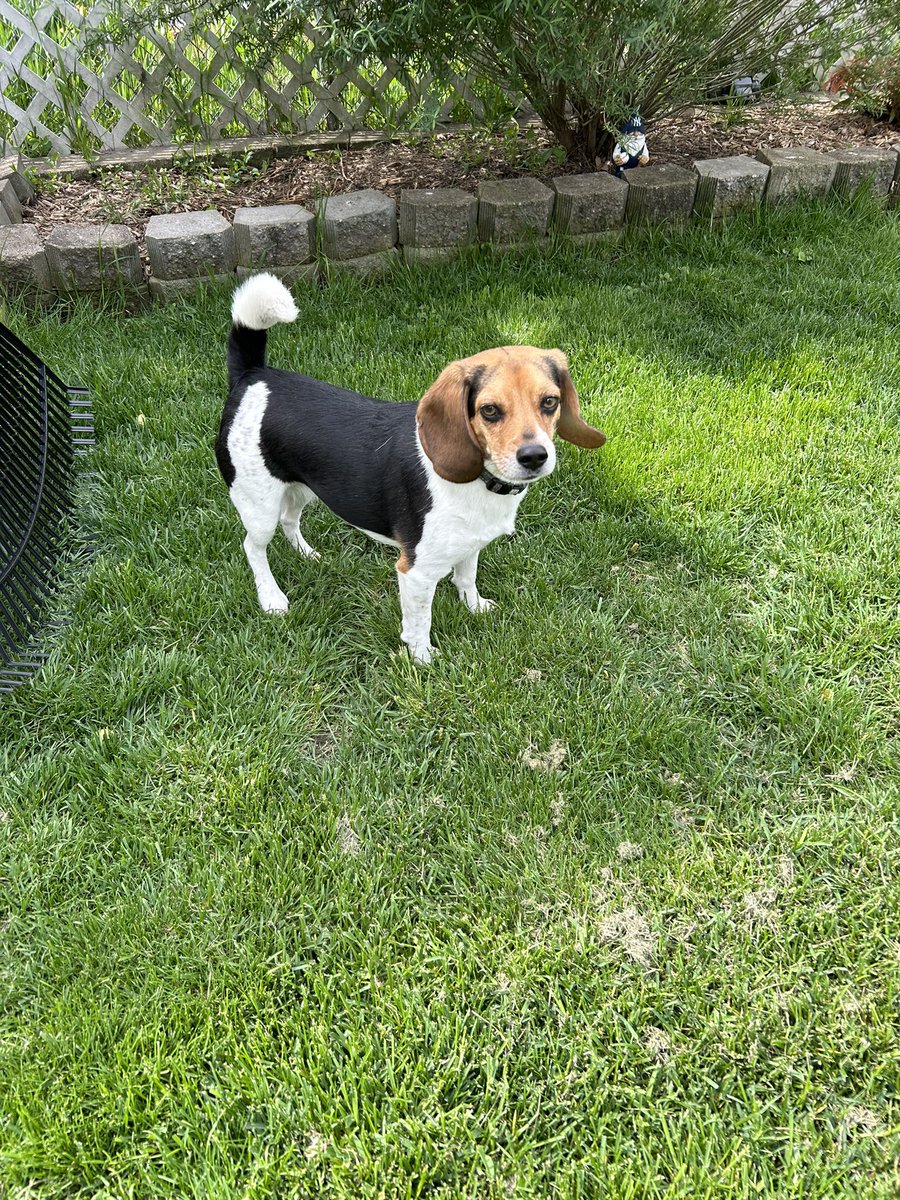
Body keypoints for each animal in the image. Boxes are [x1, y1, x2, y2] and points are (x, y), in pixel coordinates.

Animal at [217, 274, 609, 667]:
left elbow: (467, 578)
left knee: (290, 519)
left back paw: (306, 554)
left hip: (300, 488)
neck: (478, 483)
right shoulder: (416, 573)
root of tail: (254, 375)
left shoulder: (470, 543)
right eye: (490, 410)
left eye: (550, 402)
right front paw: (424, 659)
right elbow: (420, 621)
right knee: (253, 547)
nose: (534, 456)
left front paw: (474, 607)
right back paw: (272, 598)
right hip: (259, 505)